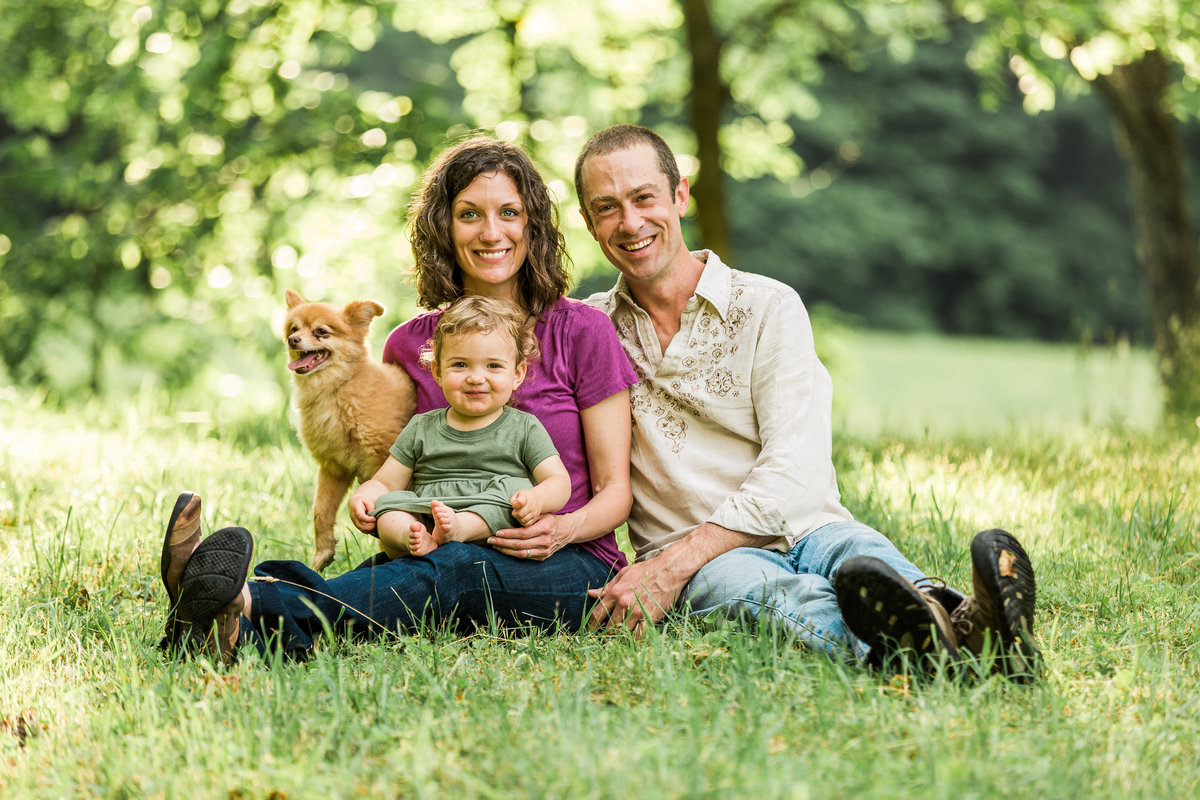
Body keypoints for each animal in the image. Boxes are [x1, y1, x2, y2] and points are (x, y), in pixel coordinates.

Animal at [283, 291, 415, 573]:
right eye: (294, 328)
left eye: (321, 332)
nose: (292, 340)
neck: (338, 389)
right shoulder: (335, 467)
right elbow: (320, 512)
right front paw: (323, 552)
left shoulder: (382, 460)